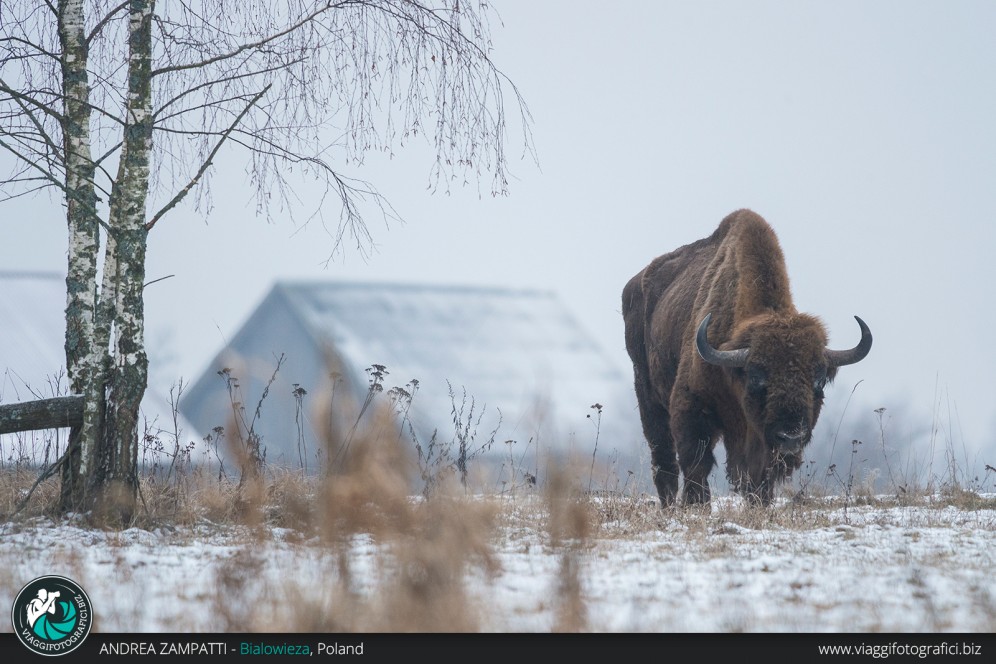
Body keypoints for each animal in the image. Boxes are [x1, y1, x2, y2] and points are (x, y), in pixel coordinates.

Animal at [624, 210, 872, 506]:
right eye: (755, 377)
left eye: (819, 381)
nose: (790, 437)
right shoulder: (691, 406)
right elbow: (696, 462)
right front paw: (697, 505)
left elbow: (758, 473)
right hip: (647, 394)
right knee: (663, 458)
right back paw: (670, 504)